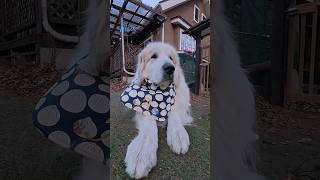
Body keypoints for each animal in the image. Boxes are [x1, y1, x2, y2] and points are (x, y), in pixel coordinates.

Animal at [124, 42, 191, 179]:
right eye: (153, 56)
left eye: (171, 58)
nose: (170, 68)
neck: (160, 91)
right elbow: (149, 125)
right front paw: (141, 152)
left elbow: (174, 113)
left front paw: (178, 134)